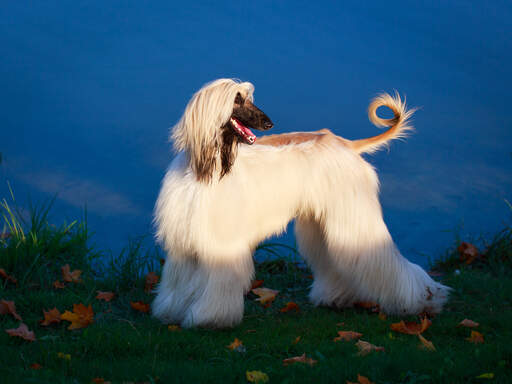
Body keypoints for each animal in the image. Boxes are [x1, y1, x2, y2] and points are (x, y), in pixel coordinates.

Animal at [152, 77, 448, 328]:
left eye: (249, 98)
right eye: (237, 99)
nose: (269, 123)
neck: (204, 169)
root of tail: (345, 144)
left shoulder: (221, 242)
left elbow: (217, 283)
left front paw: (209, 318)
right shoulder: (183, 241)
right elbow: (179, 282)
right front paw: (172, 312)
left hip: (353, 213)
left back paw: (424, 299)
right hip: (323, 222)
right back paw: (337, 297)